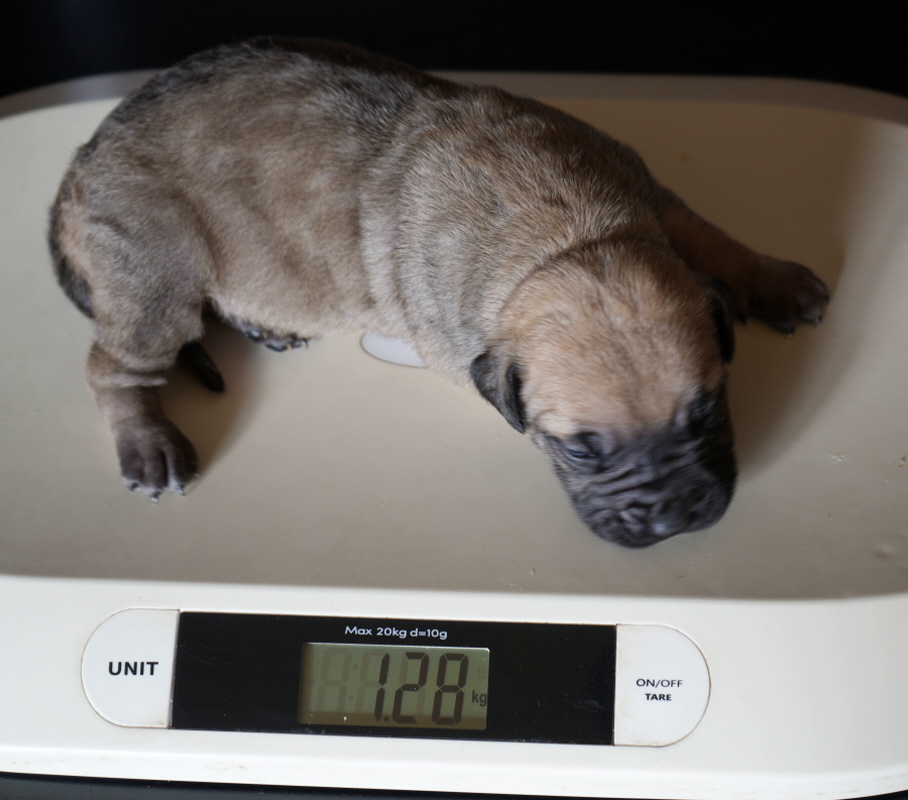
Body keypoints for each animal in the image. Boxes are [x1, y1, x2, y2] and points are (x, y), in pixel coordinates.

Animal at [49, 38, 829, 547]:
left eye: (707, 410)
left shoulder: (650, 195)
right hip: (154, 269)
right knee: (113, 367)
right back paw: (149, 443)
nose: (672, 523)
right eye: (579, 452)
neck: (564, 229)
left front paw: (776, 279)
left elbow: (710, 234)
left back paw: (264, 323)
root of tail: (82, 160)